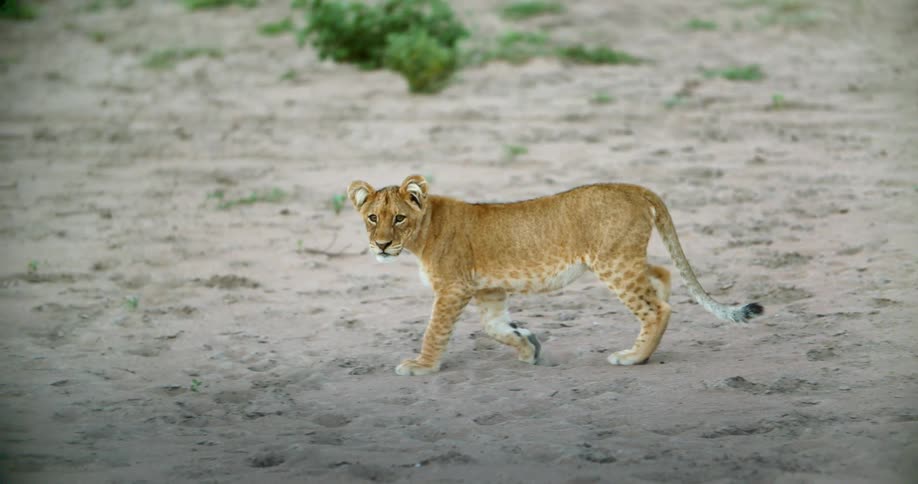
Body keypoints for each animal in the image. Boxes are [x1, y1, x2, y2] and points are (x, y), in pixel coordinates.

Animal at [347, 175, 763, 376]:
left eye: (399, 218)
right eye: (373, 217)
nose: (381, 245)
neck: (424, 230)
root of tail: (631, 187)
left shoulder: (453, 288)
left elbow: (435, 331)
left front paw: (422, 366)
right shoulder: (488, 290)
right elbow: (495, 328)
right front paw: (528, 347)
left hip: (612, 262)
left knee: (656, 308)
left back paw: (633, 357)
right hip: (624, 258)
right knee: (661, 276)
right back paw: (647, 346)